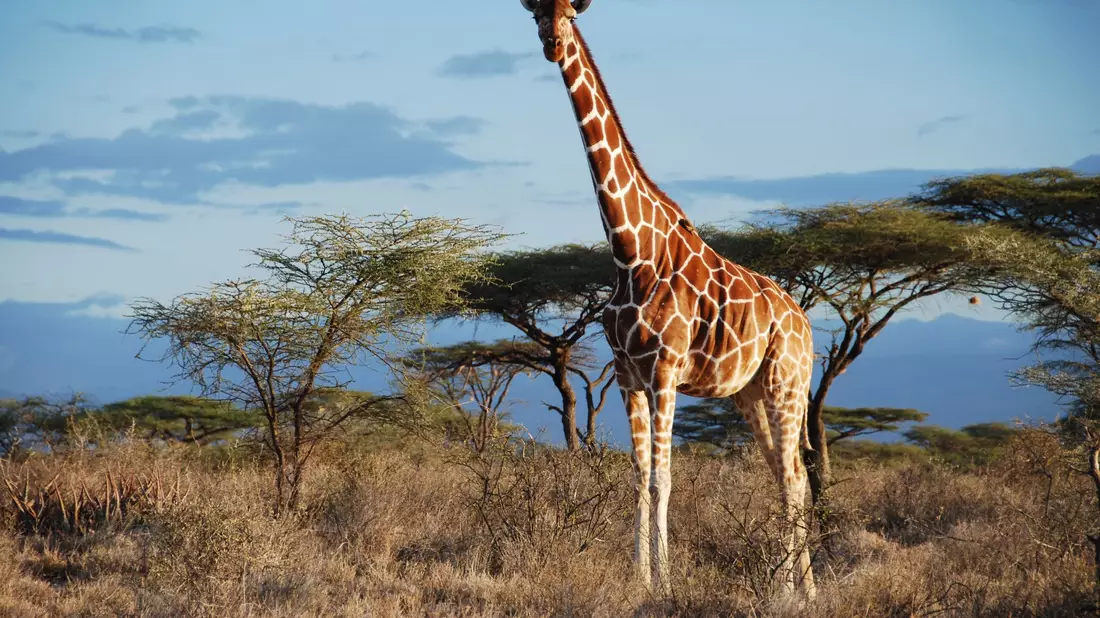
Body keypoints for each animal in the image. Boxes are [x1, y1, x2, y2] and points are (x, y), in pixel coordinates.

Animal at [519, 0, 817, 598]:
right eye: (535, 13)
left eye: (569, 13)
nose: (552, 44)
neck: (630, 252)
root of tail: (807, 325)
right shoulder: (627, 374)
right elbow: (638, 476)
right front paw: (640, 579)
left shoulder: (665, 371)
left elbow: (663, 477)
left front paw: (667, 583)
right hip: (749, 393)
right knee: (784, 472)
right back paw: (800, 587)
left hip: (787, 383)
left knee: (796, 476)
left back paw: (792, 589)